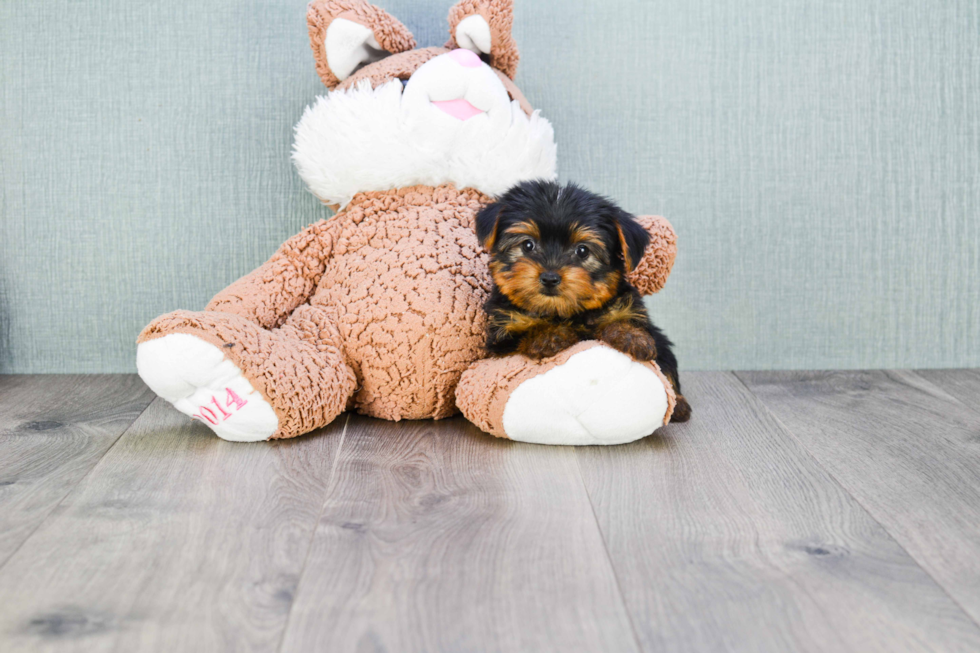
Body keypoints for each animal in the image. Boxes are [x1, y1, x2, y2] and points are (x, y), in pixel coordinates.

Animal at [472, 181, 688, 420]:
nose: (550, 277)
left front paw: (631, 336)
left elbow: (628, 327)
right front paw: (548, 336)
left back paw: (679, 405)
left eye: (582, 250)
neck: (565, 312)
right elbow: (522, 337)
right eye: (528, 245)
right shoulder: (502, 338)